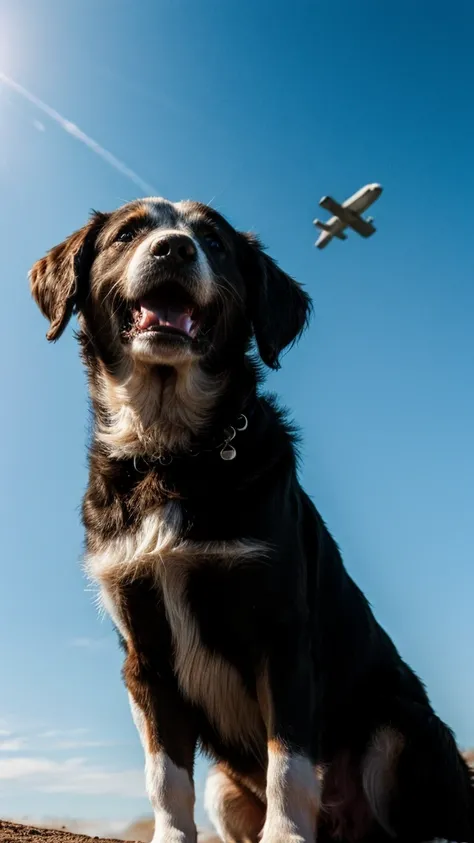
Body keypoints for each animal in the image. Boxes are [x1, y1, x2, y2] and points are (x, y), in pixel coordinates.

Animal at [30, 198, 474, 843]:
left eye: (214, 242)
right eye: (127, 233)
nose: (174, 248)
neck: (172, 454)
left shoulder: (282, 634)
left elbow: (287, 760)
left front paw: (285, 835)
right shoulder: (144, 652)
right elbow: (165, 774)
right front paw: (171, 836)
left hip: (401, 728)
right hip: (225, 787)